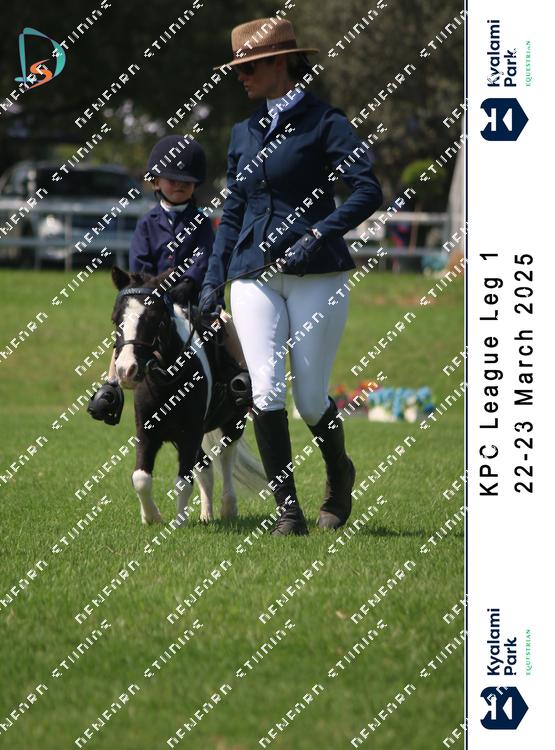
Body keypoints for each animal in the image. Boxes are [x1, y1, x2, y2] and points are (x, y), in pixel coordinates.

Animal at [109, 266, 266, 526]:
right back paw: (206, 514)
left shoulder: (190, 434)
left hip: (233, 422)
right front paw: (151, 517)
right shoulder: (147, 432)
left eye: (154, 318)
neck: (167, 382)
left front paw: (178, 523)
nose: (126, 370)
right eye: (116, 319)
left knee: (226, 457)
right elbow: (141, 478)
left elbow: (183, 481)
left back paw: (228, 508)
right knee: (206, 470)